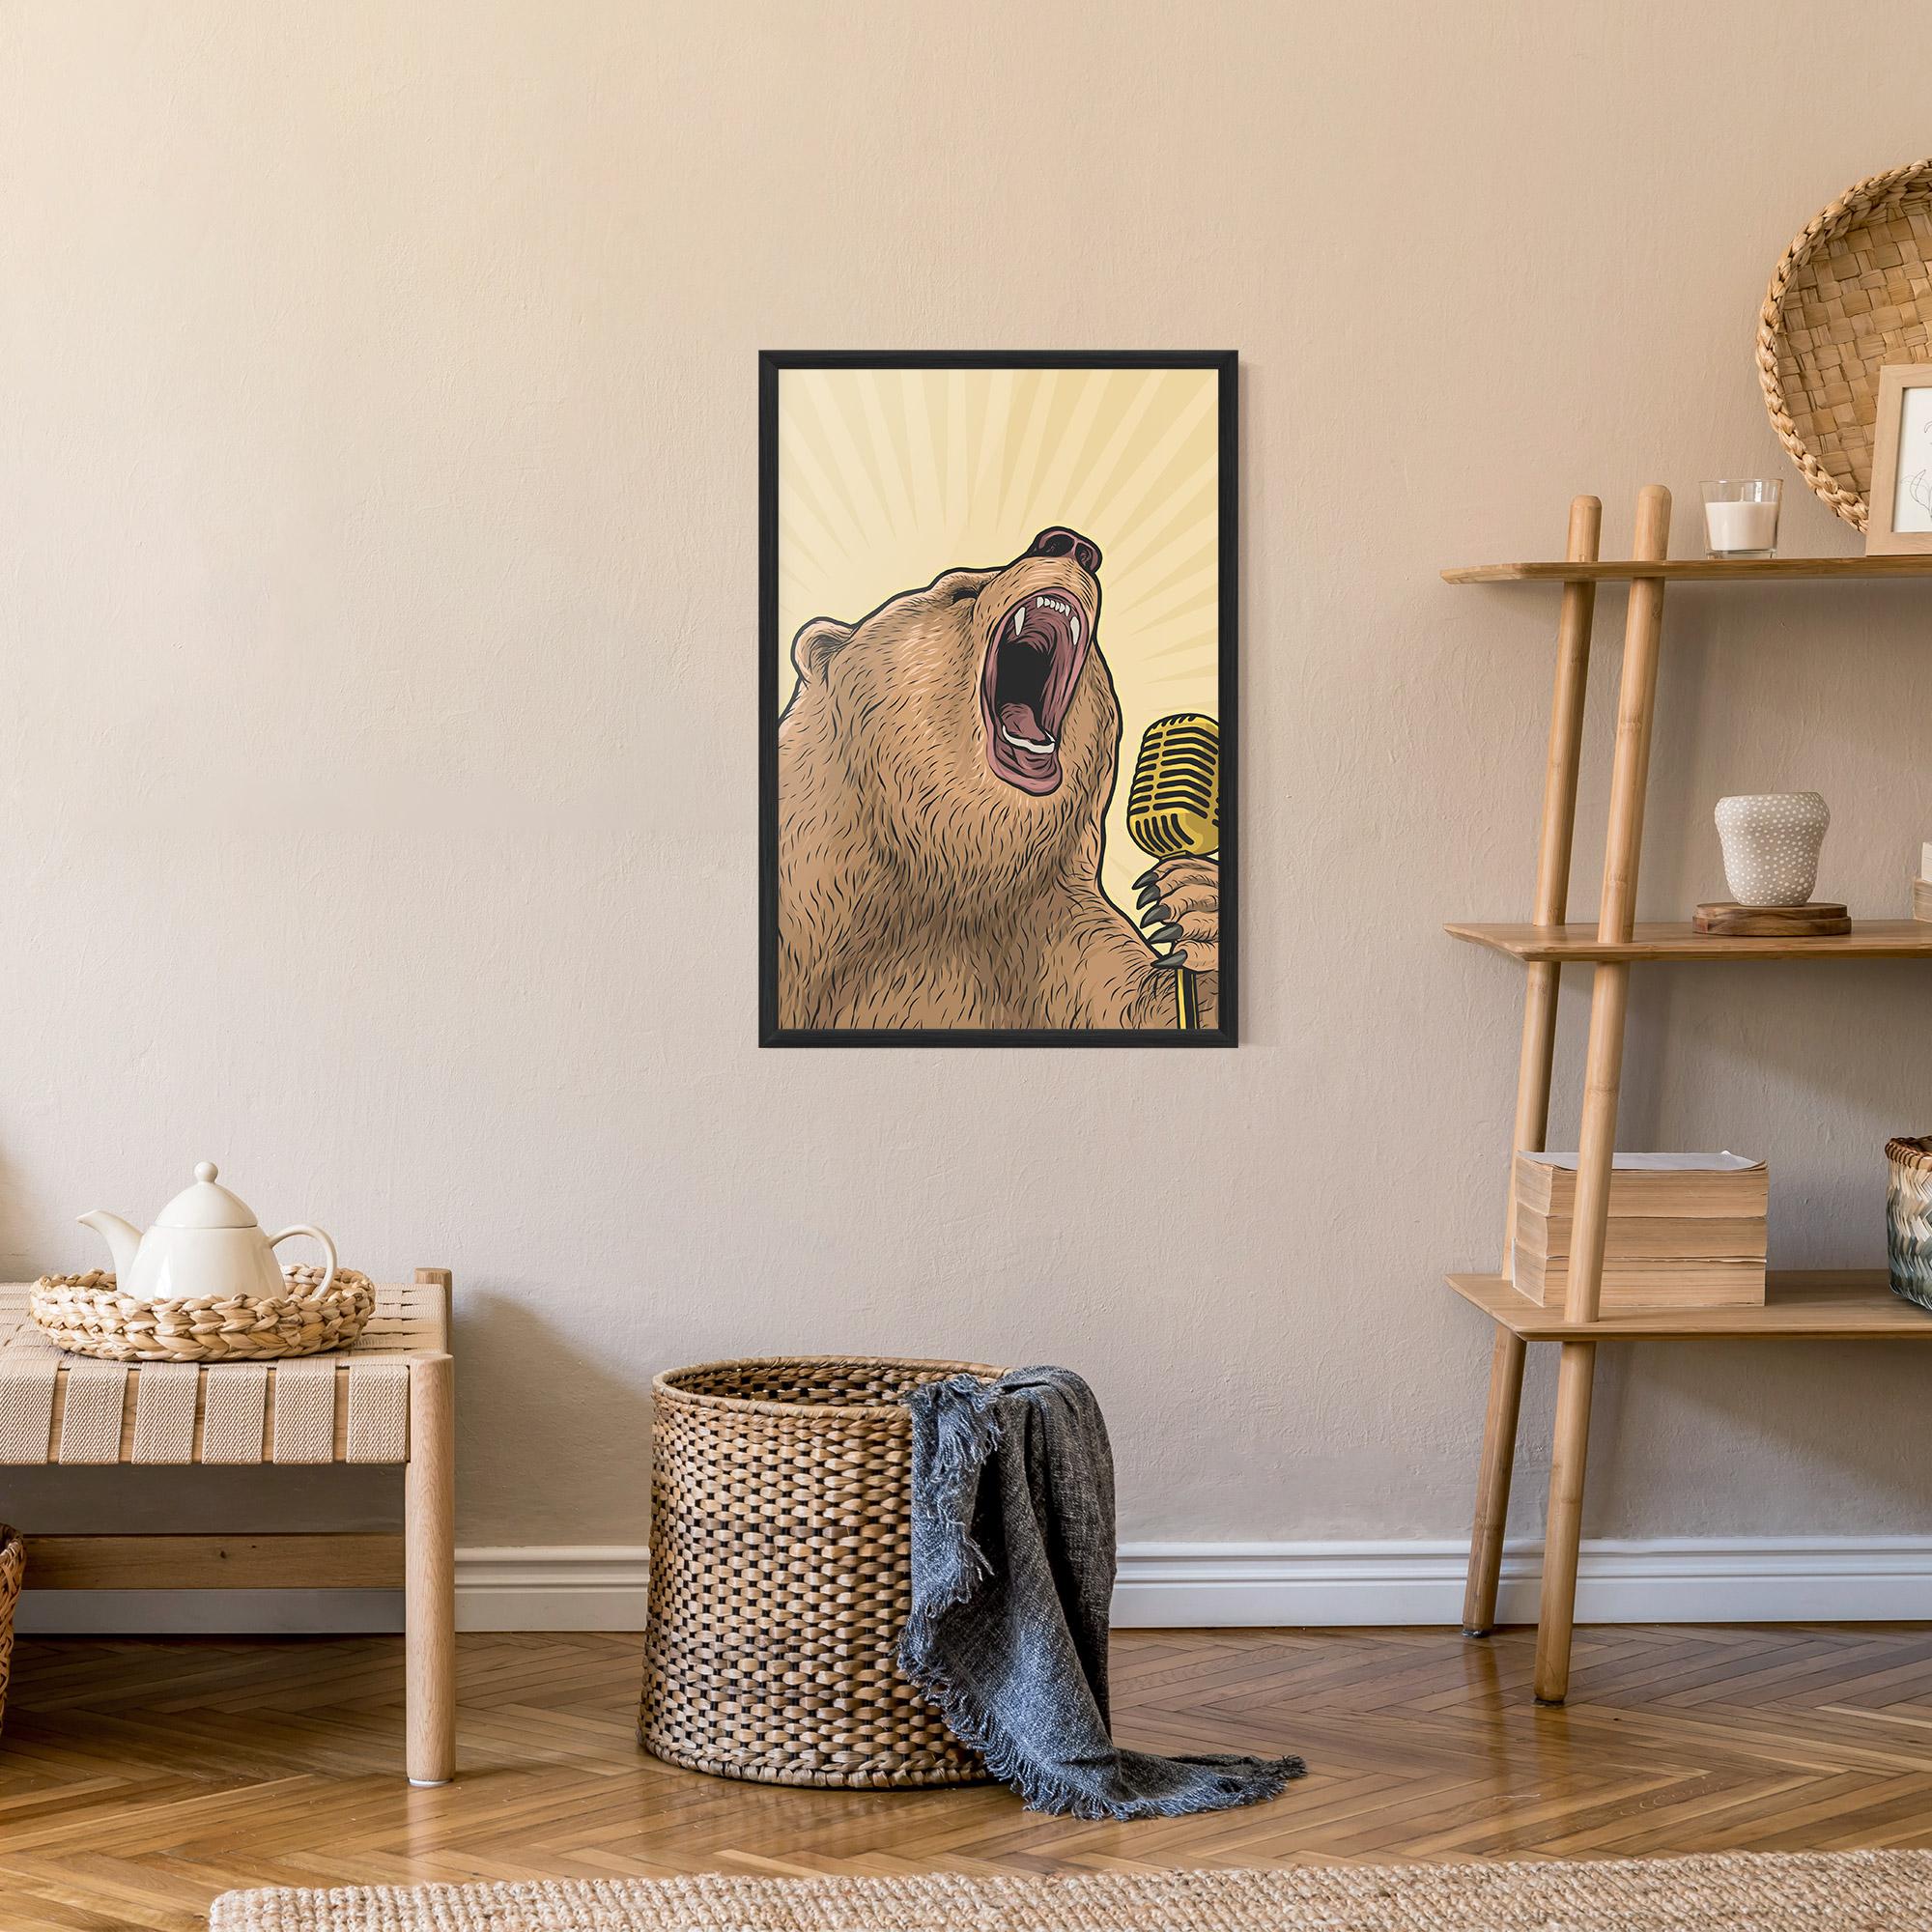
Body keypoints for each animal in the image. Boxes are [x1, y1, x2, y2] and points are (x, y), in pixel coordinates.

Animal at [775, 525, 1219, 1031]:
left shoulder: (1049, 924)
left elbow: (1135, 999)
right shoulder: (812, 902)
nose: (1068, 543)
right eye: (960, 591)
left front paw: (1193, 903)